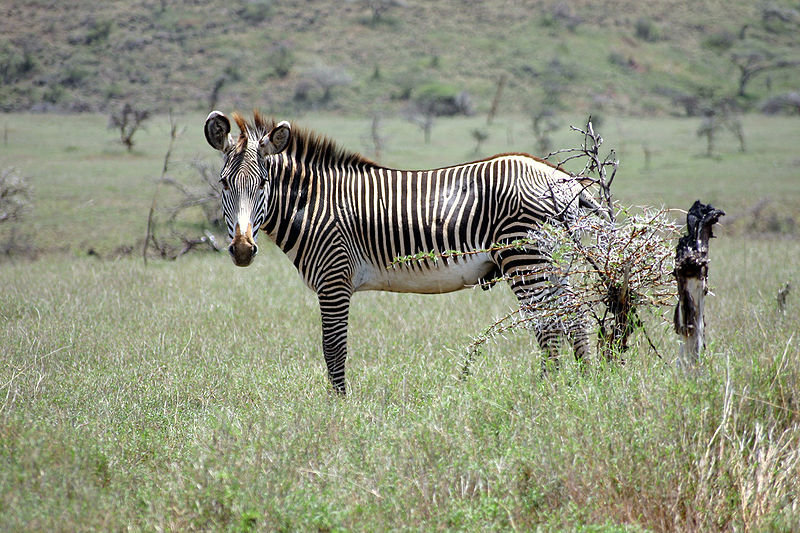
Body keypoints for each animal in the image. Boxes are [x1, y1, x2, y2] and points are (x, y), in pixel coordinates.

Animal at [204, 110, 596, 394]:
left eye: (263, 184)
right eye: (223, 183)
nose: (242, 250)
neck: (312, 205)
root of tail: (565, 180)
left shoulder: (334, 279)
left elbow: (333, 348)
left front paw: (339, 407)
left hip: (526, 258)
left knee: (549, 326)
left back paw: (546, 392)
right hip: (553, 261)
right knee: (575, 318)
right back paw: (586, 386)